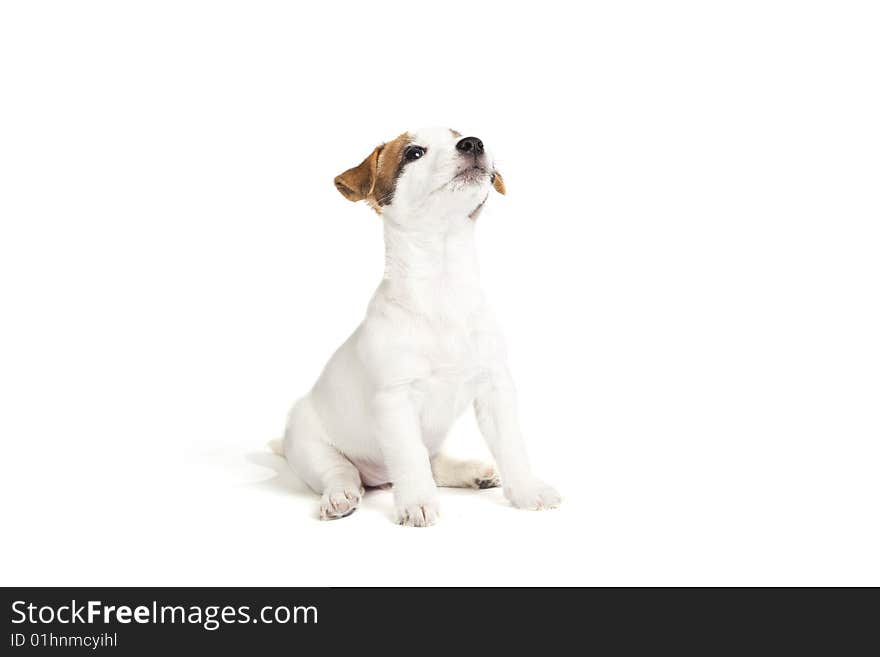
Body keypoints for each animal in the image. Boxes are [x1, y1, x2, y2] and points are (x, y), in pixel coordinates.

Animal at [282, 127, 556, 528]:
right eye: (413, 153)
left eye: (463, 136)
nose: (473, 143)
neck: (443, 283)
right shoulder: (395, 401)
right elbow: (410, 460)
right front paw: (417, 504)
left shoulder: (496, 389)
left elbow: (512, 446)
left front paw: (528, 492)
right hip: (312, 450)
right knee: (343, 472)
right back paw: (340, 497)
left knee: (434, 462)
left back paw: (474, 472)